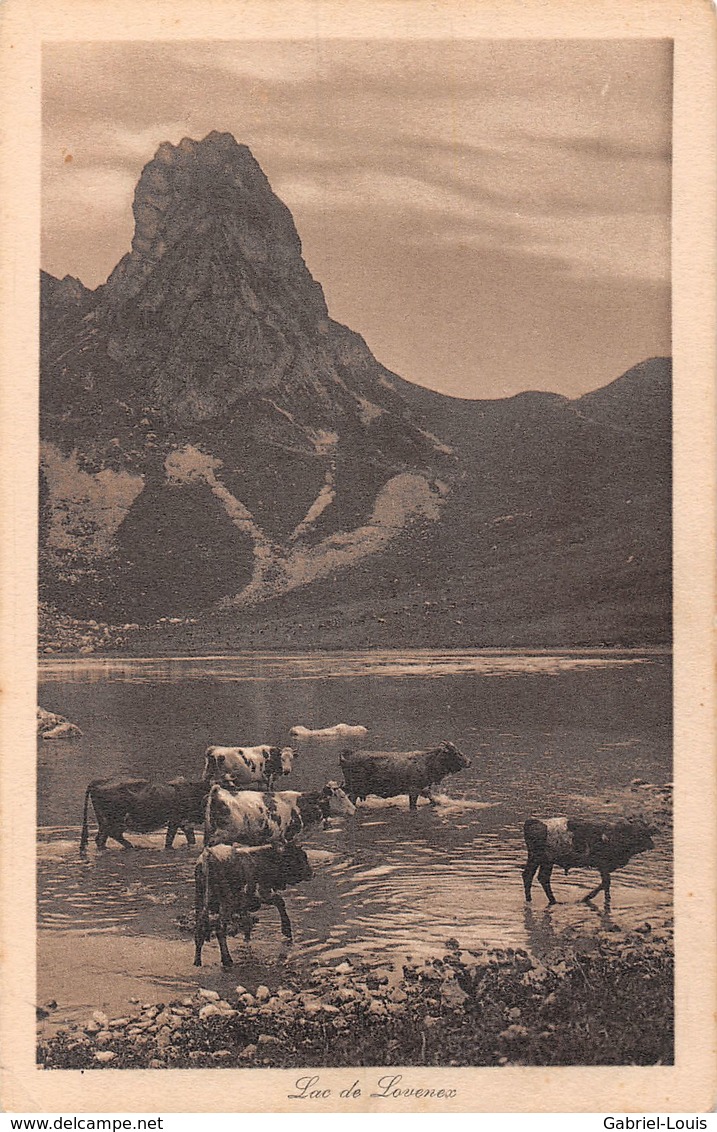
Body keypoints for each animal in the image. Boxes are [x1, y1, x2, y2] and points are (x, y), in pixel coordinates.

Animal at [80, 778, 210, 851]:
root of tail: (98, 782)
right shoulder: (175, 820)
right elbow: (169, 839)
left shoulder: (184, 823)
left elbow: (191, 839)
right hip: (117, 820)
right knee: (112, 834)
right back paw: (131, 846)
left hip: (103, 822)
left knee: (100, 839)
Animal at [339, 738, 468, 810]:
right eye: (455, 752)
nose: (469, 761)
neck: (427, 762)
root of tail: (346, 755)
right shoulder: (414, 790)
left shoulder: (422, 789)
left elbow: (432, 799)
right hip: (355, 789)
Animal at [521, 819, 652, 905]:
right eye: (639, 832)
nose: (652, 844)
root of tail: (533, 822)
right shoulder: (603, 865)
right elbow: (606, 882)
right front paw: (588, 898)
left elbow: (605, 883)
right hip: (542, 859)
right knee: (536, 877)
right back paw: (550, 901)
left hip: (541, 860)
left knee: (534, 876)